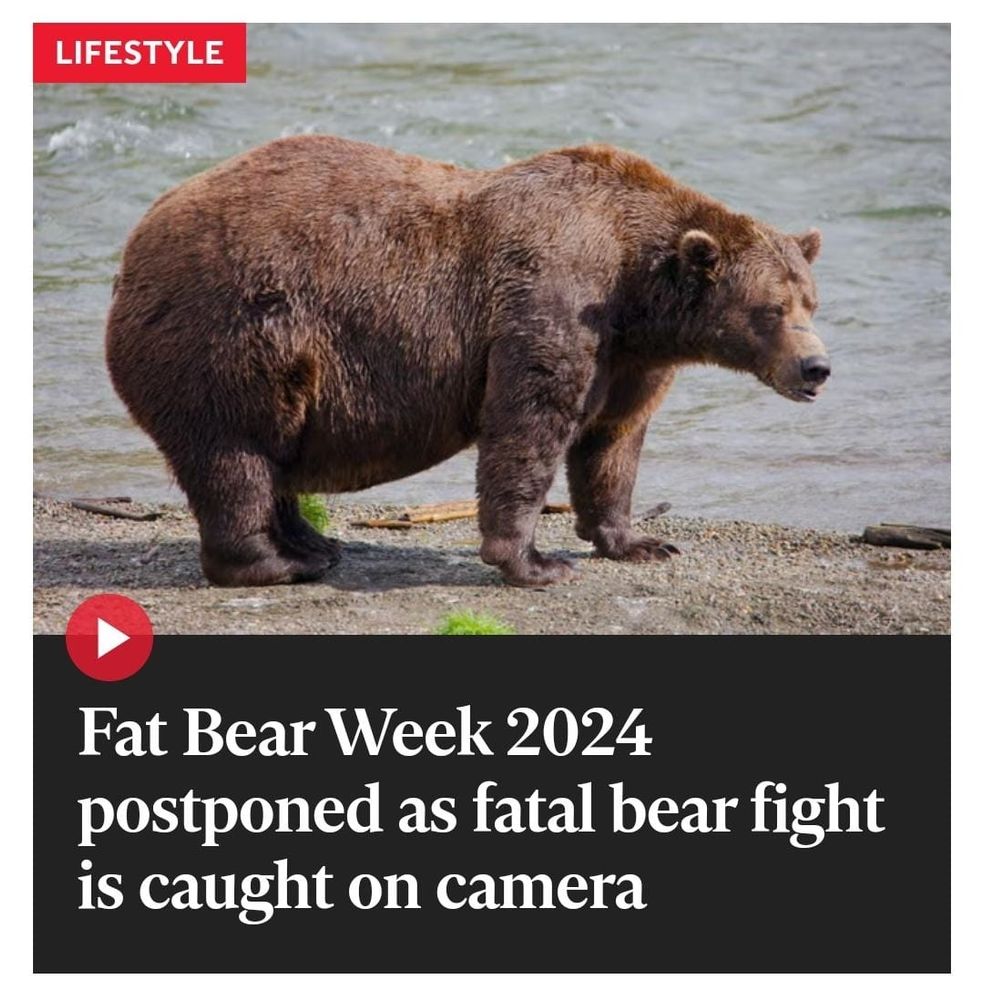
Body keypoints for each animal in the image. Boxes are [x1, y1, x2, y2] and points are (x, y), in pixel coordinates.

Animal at [105, 135, 829, 588]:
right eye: (771, 308)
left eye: (811, 301)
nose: (816, 368)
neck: (637, 289)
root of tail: (134, 244)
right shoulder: (553, 299)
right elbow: (528, 424)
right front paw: (535, 562)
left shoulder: (629, 357)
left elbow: (612, 441)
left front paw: (639, 541)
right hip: (231, 333)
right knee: (236, 454)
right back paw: (276, 563)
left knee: (272, 455)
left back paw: (314, 544)